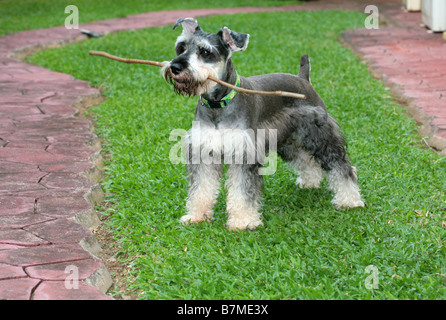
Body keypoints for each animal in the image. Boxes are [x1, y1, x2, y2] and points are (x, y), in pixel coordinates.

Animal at [162, 17, 364, 230]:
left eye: (205, 52)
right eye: (181, 47)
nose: (175, 67)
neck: (218, 105)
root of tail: (303, 79)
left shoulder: (244, 153)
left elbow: (242, 191)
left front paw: (243, 221)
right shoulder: (202, 152)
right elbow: (201, 188)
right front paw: (197, 216)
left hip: (320, 136)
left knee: (341, 166)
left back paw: (350, 200)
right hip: (289, 140)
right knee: (306, 159)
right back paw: (310, 182)